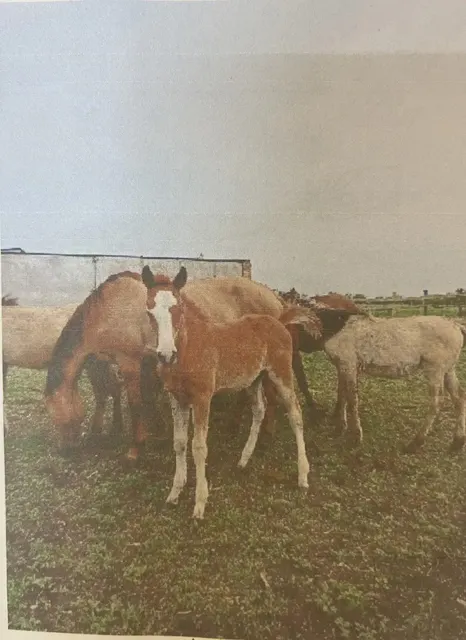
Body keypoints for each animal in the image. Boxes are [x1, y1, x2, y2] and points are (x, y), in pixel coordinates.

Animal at [141, 265, 310, 519]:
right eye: (149, 311)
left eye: (178, 308)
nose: (166, 355)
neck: (189, 348)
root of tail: (278, 320)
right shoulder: (177, 399)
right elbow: (179, 443)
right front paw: (174, 493)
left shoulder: (202, 398)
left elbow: (199, 447)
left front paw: (200, 504)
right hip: (253, 379)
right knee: (259, 410)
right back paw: (244, 459)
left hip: (281, 374)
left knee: (295, 414)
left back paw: (303, 476)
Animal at [323, 314, 466, 452]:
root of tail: (456, 326)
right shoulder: (342, 367)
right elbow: (342, 395)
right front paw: (339, 428)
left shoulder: (348, 365)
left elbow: (352, 401)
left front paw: (356, 437)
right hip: (448, 370)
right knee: (459, 398)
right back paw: (457, 441)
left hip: (435, 370)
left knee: (437, 403)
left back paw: (416, 442)